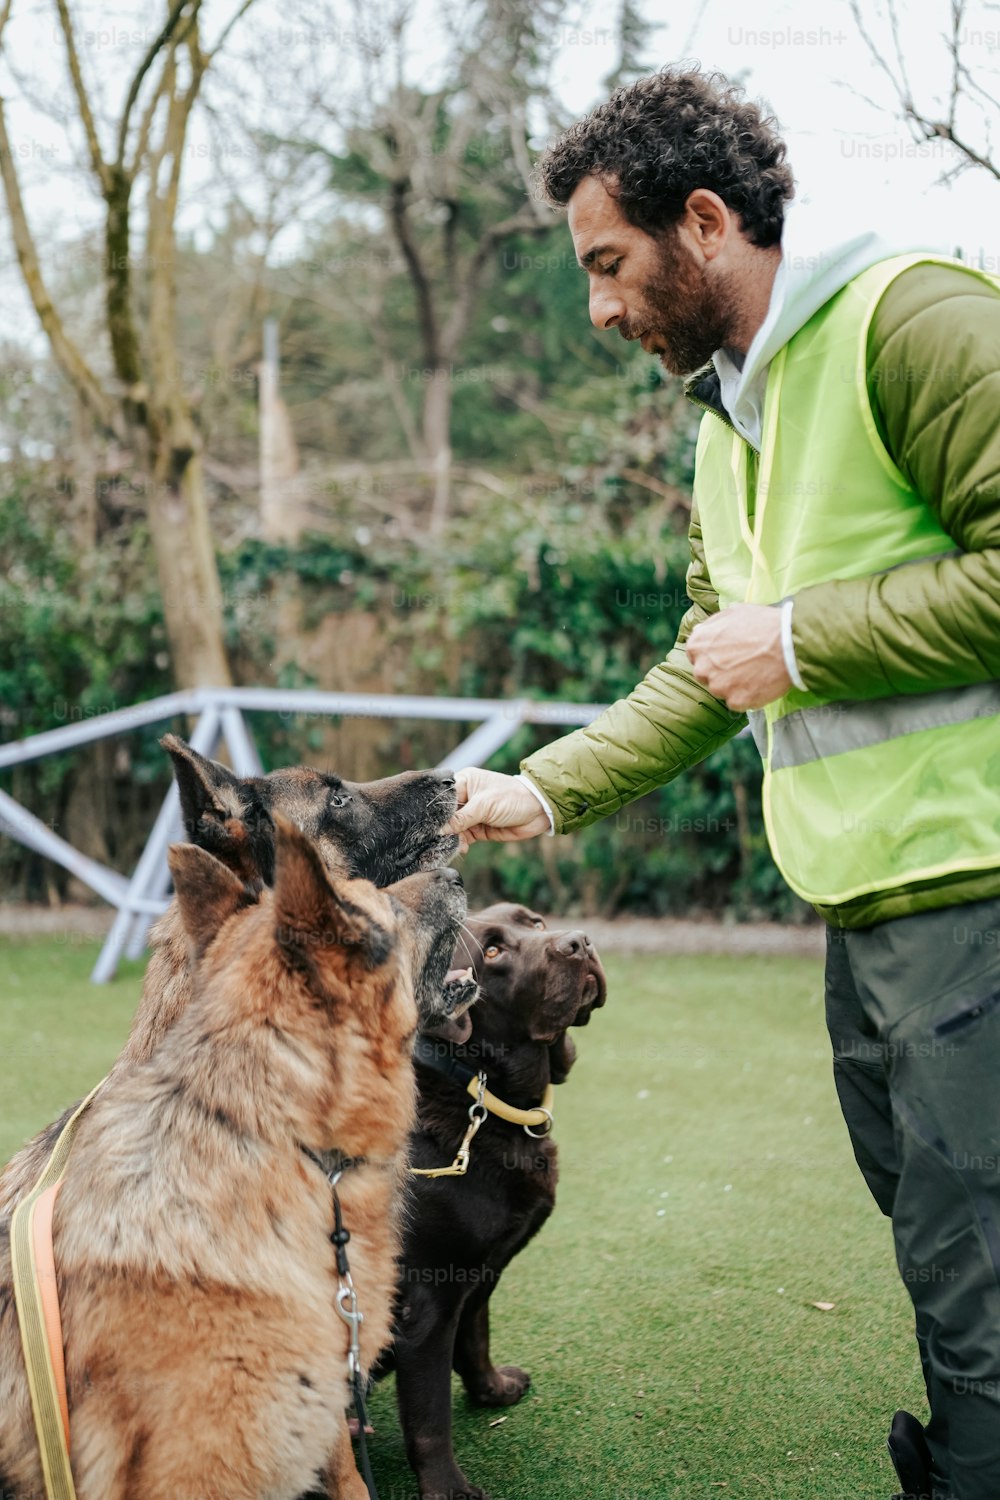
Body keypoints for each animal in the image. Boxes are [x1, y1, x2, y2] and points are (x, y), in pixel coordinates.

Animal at [383, 900, 605, 1500]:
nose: (580, 942)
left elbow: (475, 1338)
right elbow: (430, 1414)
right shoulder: (427, 1301)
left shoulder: (480, 1273)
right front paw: (448, 1488)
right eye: (493, 952)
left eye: (536, 922)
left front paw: (493, 1390)